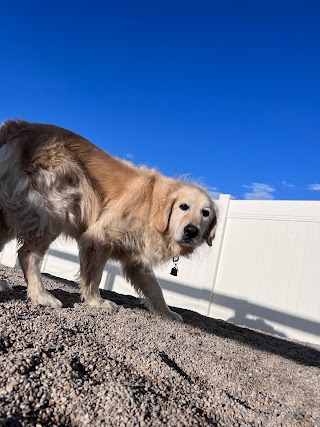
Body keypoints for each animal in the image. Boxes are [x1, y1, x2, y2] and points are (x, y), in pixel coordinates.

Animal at [0, 120, 216, 320]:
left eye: (205, 213)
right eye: (183, 206)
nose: (191, 231)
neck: (153, 206)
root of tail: (16, 127)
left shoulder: (137, 261)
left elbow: (156, 289)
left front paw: (167, 313)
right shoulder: (99, 237)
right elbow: (94, 277)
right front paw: (96, 302)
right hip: (56, 210)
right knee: (27, 254)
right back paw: (41, 296)